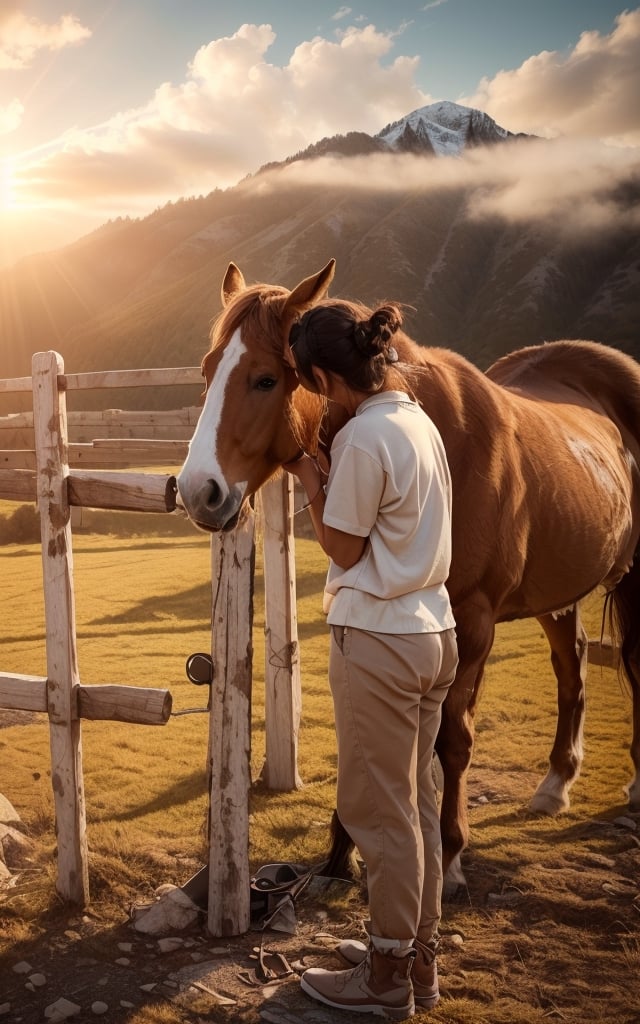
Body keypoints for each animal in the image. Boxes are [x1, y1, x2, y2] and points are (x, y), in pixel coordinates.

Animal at [177, 258, 638, 888]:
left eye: (265, 379)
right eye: (206, 371)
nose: (197, 491)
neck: (435, 433)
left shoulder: (472, 622)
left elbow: (453, 740)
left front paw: (448, 856)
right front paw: (344, 849)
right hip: (559, 591)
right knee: (573, 668)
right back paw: (555, 784)